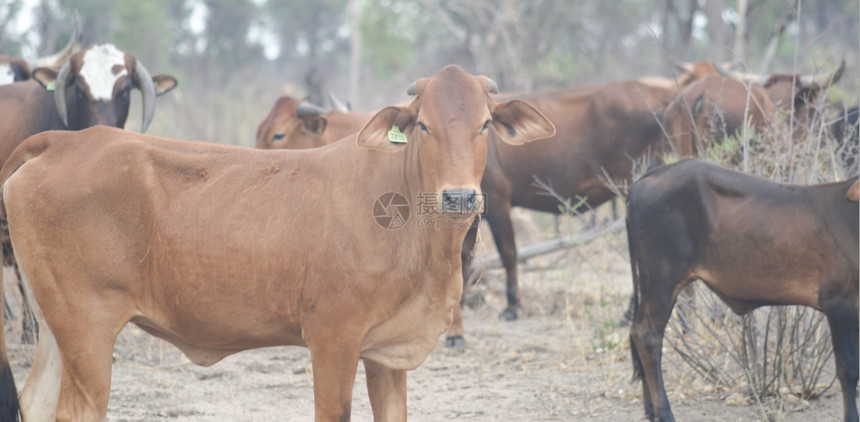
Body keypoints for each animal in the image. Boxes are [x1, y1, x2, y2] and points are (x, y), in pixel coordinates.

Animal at [0, 64, 556, 420]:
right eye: (423, 124)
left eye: (485, 124)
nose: (460, 197)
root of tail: (64, 141)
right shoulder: (333, 341)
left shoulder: (384, 354)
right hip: (87, 330)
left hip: (55, 328)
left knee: (36, 402)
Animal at [624, 159, 860, 422]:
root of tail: (648, 177)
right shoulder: (840, 303)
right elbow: (849, 369)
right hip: (662, 280)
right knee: (647, 336)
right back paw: (664, 413)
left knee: (639, 334)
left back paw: (651, 411)